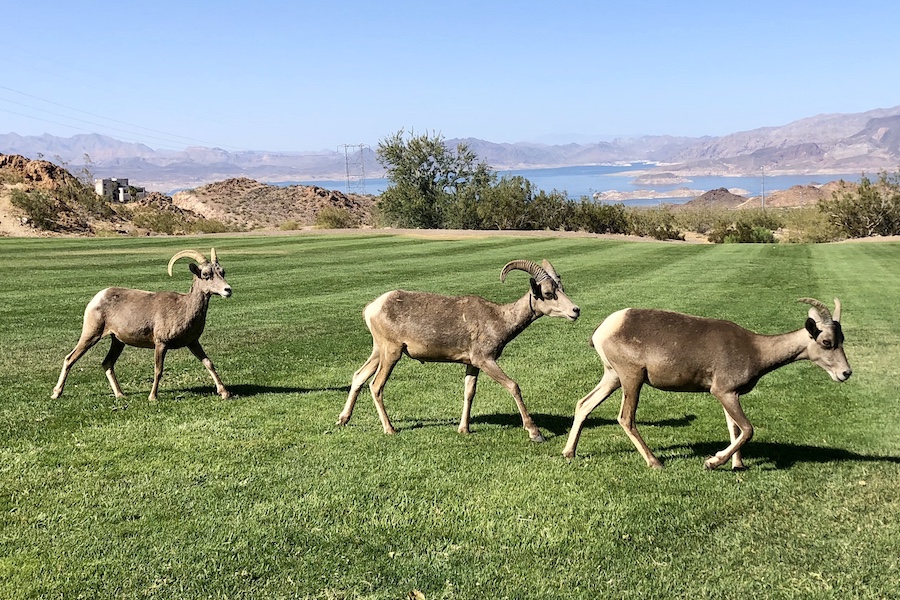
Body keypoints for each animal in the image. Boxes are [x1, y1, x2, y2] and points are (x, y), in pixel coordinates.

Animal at [49, 248, 234, 404]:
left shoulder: (193, 343)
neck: (183, 307)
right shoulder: (161, 344)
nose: (228, 290)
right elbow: (158, 370)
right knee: (70, 358)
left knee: (107, 363)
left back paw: (120, 395)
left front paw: (224, 393)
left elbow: (209, 363)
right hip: (91, 335)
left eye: (222, 272)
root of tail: (98, 297)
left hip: (117, 342)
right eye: (206, 274)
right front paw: (152, 397)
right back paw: (56, 393)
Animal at [340, 258, 584, 440]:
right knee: (376, 385)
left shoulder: (472, 364)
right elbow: (513, 386)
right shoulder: (486, 360)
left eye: (561, 289)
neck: (499, 320)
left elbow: (469, 392)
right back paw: (390, 429)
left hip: (378, 351)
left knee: (359, 376)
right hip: (391, 352)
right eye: (548, 294)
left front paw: (464, 429)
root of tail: (372, 308)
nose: (575, 310)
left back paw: (343, 419)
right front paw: (535, 433)